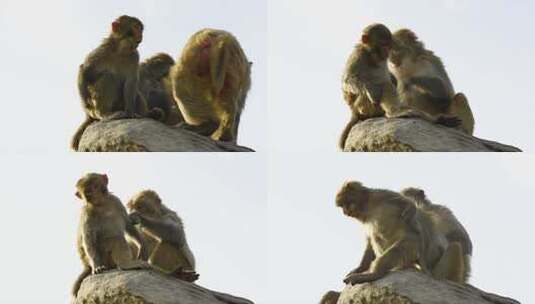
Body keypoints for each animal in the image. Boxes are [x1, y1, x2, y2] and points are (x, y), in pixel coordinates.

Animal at [71, 15, 163, 151]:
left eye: (140, 28)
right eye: (136, 27)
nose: (140, 35)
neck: (121, 50)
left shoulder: (134, 56)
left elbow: (130, 83)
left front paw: (131, 112)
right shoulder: (102, 51)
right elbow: (85, 70)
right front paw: (85, 104)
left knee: (134, 92)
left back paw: (146, 114)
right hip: (99, 106)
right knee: (108, 78)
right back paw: (105, 114)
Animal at [338, 182, 466, 286]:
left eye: (346, 204)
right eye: (342, 206)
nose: (345, 212)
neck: (369, 207)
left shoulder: (379, 195)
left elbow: (405, 203)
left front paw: (411, 208)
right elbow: (370, 240)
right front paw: (360, 268)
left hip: (413, 246)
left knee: (400, 247)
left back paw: (375, 274)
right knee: (377, 237)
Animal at [340, 23, 460, 151]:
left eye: (388, 46)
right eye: (383, 44)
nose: (386, 53)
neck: (372, 57)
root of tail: (354, 111)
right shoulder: (358, 55)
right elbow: (348, 80)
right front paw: (369, 89)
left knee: (387, 85)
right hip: (362, 106)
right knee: (381, 86)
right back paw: (393, 112)